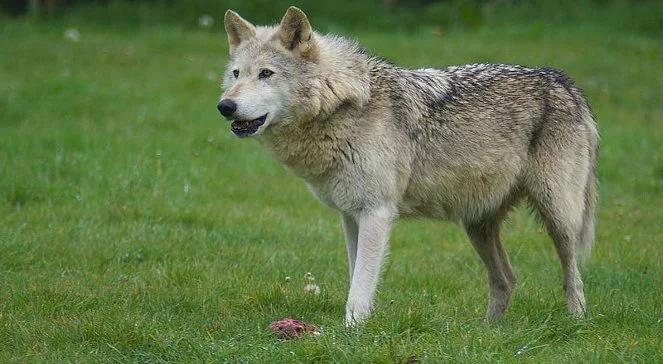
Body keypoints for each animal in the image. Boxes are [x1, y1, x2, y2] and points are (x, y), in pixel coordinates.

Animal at [219, 6, 600, 324]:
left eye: (266, 74)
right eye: (237, 74)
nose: (225, 106)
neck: (342, 106)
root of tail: (565, 82)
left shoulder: (376, 213)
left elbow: (360, 288)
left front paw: (350, 334)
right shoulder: (350, 216)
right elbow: (355, 277)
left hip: (559, 217)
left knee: (573, 275)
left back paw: (575, 323)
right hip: (477, 225)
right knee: (507, 278)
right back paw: (487, 331)